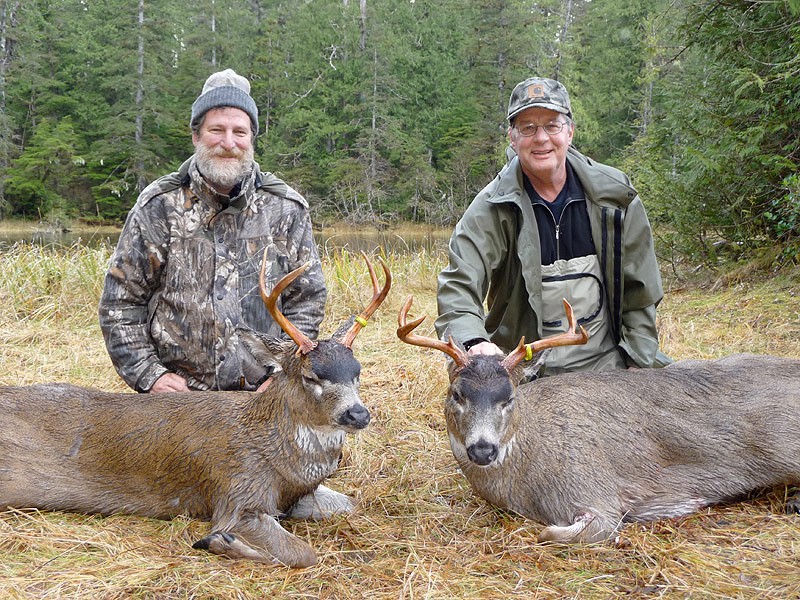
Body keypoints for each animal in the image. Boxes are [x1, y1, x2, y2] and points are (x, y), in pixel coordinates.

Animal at [0, 253, 391, 568]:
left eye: (357, 372)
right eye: (311, 376)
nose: (358, 415)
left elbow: (351, 504)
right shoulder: (237, 493)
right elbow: (303, 553)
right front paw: (219, 542)